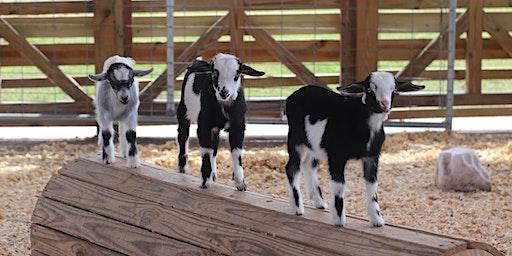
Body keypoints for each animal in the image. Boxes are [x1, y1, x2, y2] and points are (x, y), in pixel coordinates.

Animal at [176, 53, 264, 190]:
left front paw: (241, 184)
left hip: (215, 128)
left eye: (236, 75)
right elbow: (206, 150)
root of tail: (198, 62)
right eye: (214, 74)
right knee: (183, 136)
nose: (224, 92)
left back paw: (213, 174)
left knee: (215, 146)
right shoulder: (204, 125)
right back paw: (182, 169)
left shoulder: (238, 126)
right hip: (183, 110)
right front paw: (205, 181)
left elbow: (236, 152)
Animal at [284, 71, 424, 226]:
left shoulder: (372, 157)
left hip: (314, 145)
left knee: (308, 165)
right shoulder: (336, 155)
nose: (384, 104)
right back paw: (297, 208)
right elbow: (339, 185)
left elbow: (372, 185)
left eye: (394, 90)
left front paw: (377, 220)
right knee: (292, 167)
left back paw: (319, 202)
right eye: (369, 89)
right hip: (295, 139)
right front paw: (339, 220)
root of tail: (292, 96)